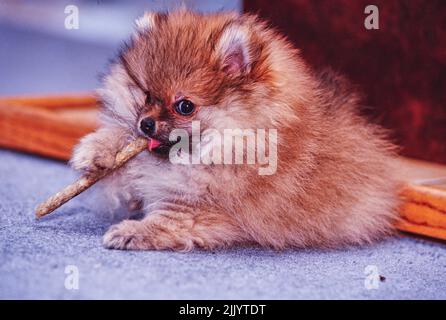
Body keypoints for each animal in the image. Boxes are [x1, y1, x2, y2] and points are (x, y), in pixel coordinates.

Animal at [70, 9, 400, 250]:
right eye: (146, 95)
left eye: (184, 106)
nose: (146, 123)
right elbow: (121, 161)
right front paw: (96, 150)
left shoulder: (199, 206)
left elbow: (169, 220)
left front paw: (133, 231)